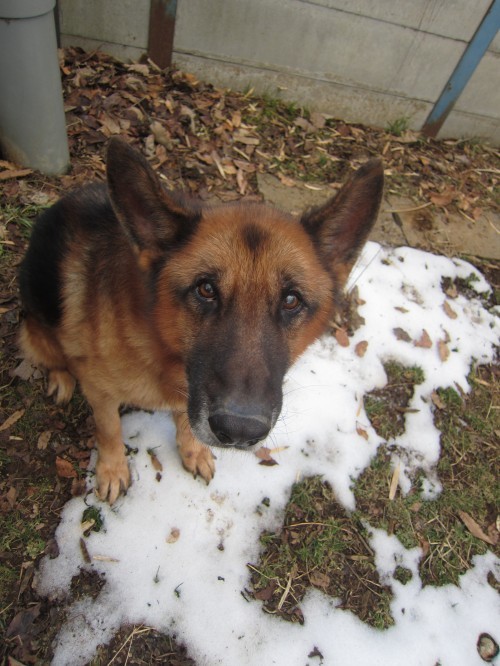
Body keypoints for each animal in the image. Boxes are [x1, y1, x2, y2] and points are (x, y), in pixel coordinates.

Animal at [17, 137, 380, 500]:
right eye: (206, 289)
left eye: (291, 301)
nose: (239, 431)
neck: (158, 341)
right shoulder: (100, 392)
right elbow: (109, 429)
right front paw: (112, 469)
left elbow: (184, 419)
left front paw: (192, 451)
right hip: (35, 332)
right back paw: (62, 377)